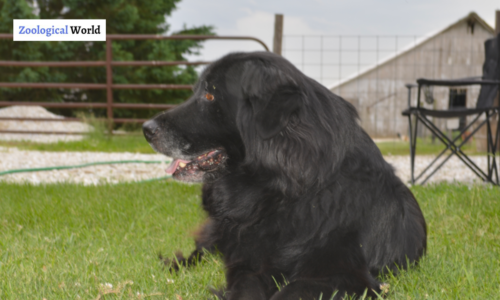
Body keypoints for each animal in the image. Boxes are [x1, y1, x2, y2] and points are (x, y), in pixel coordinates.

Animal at [142, 52, 426, 300]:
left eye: (209, 94)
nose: (146, 129)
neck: (282, 194)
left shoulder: (352, 276)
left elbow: (295, 289)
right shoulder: (248, 264)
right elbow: (246, 288)